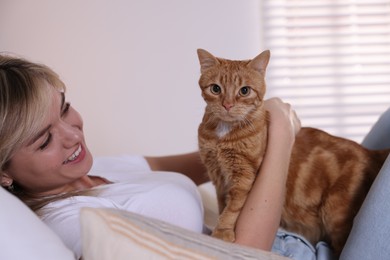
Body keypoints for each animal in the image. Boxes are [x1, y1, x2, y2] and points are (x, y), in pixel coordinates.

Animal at [198, 47, 390, 256]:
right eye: (216, 89)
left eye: (244, 91)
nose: (227, 105)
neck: (222, 137)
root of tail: (369, 152)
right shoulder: (218, 177)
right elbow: (222, 205)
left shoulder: (244, 178)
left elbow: (232, 208)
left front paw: (222, 231)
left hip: (335, 214)